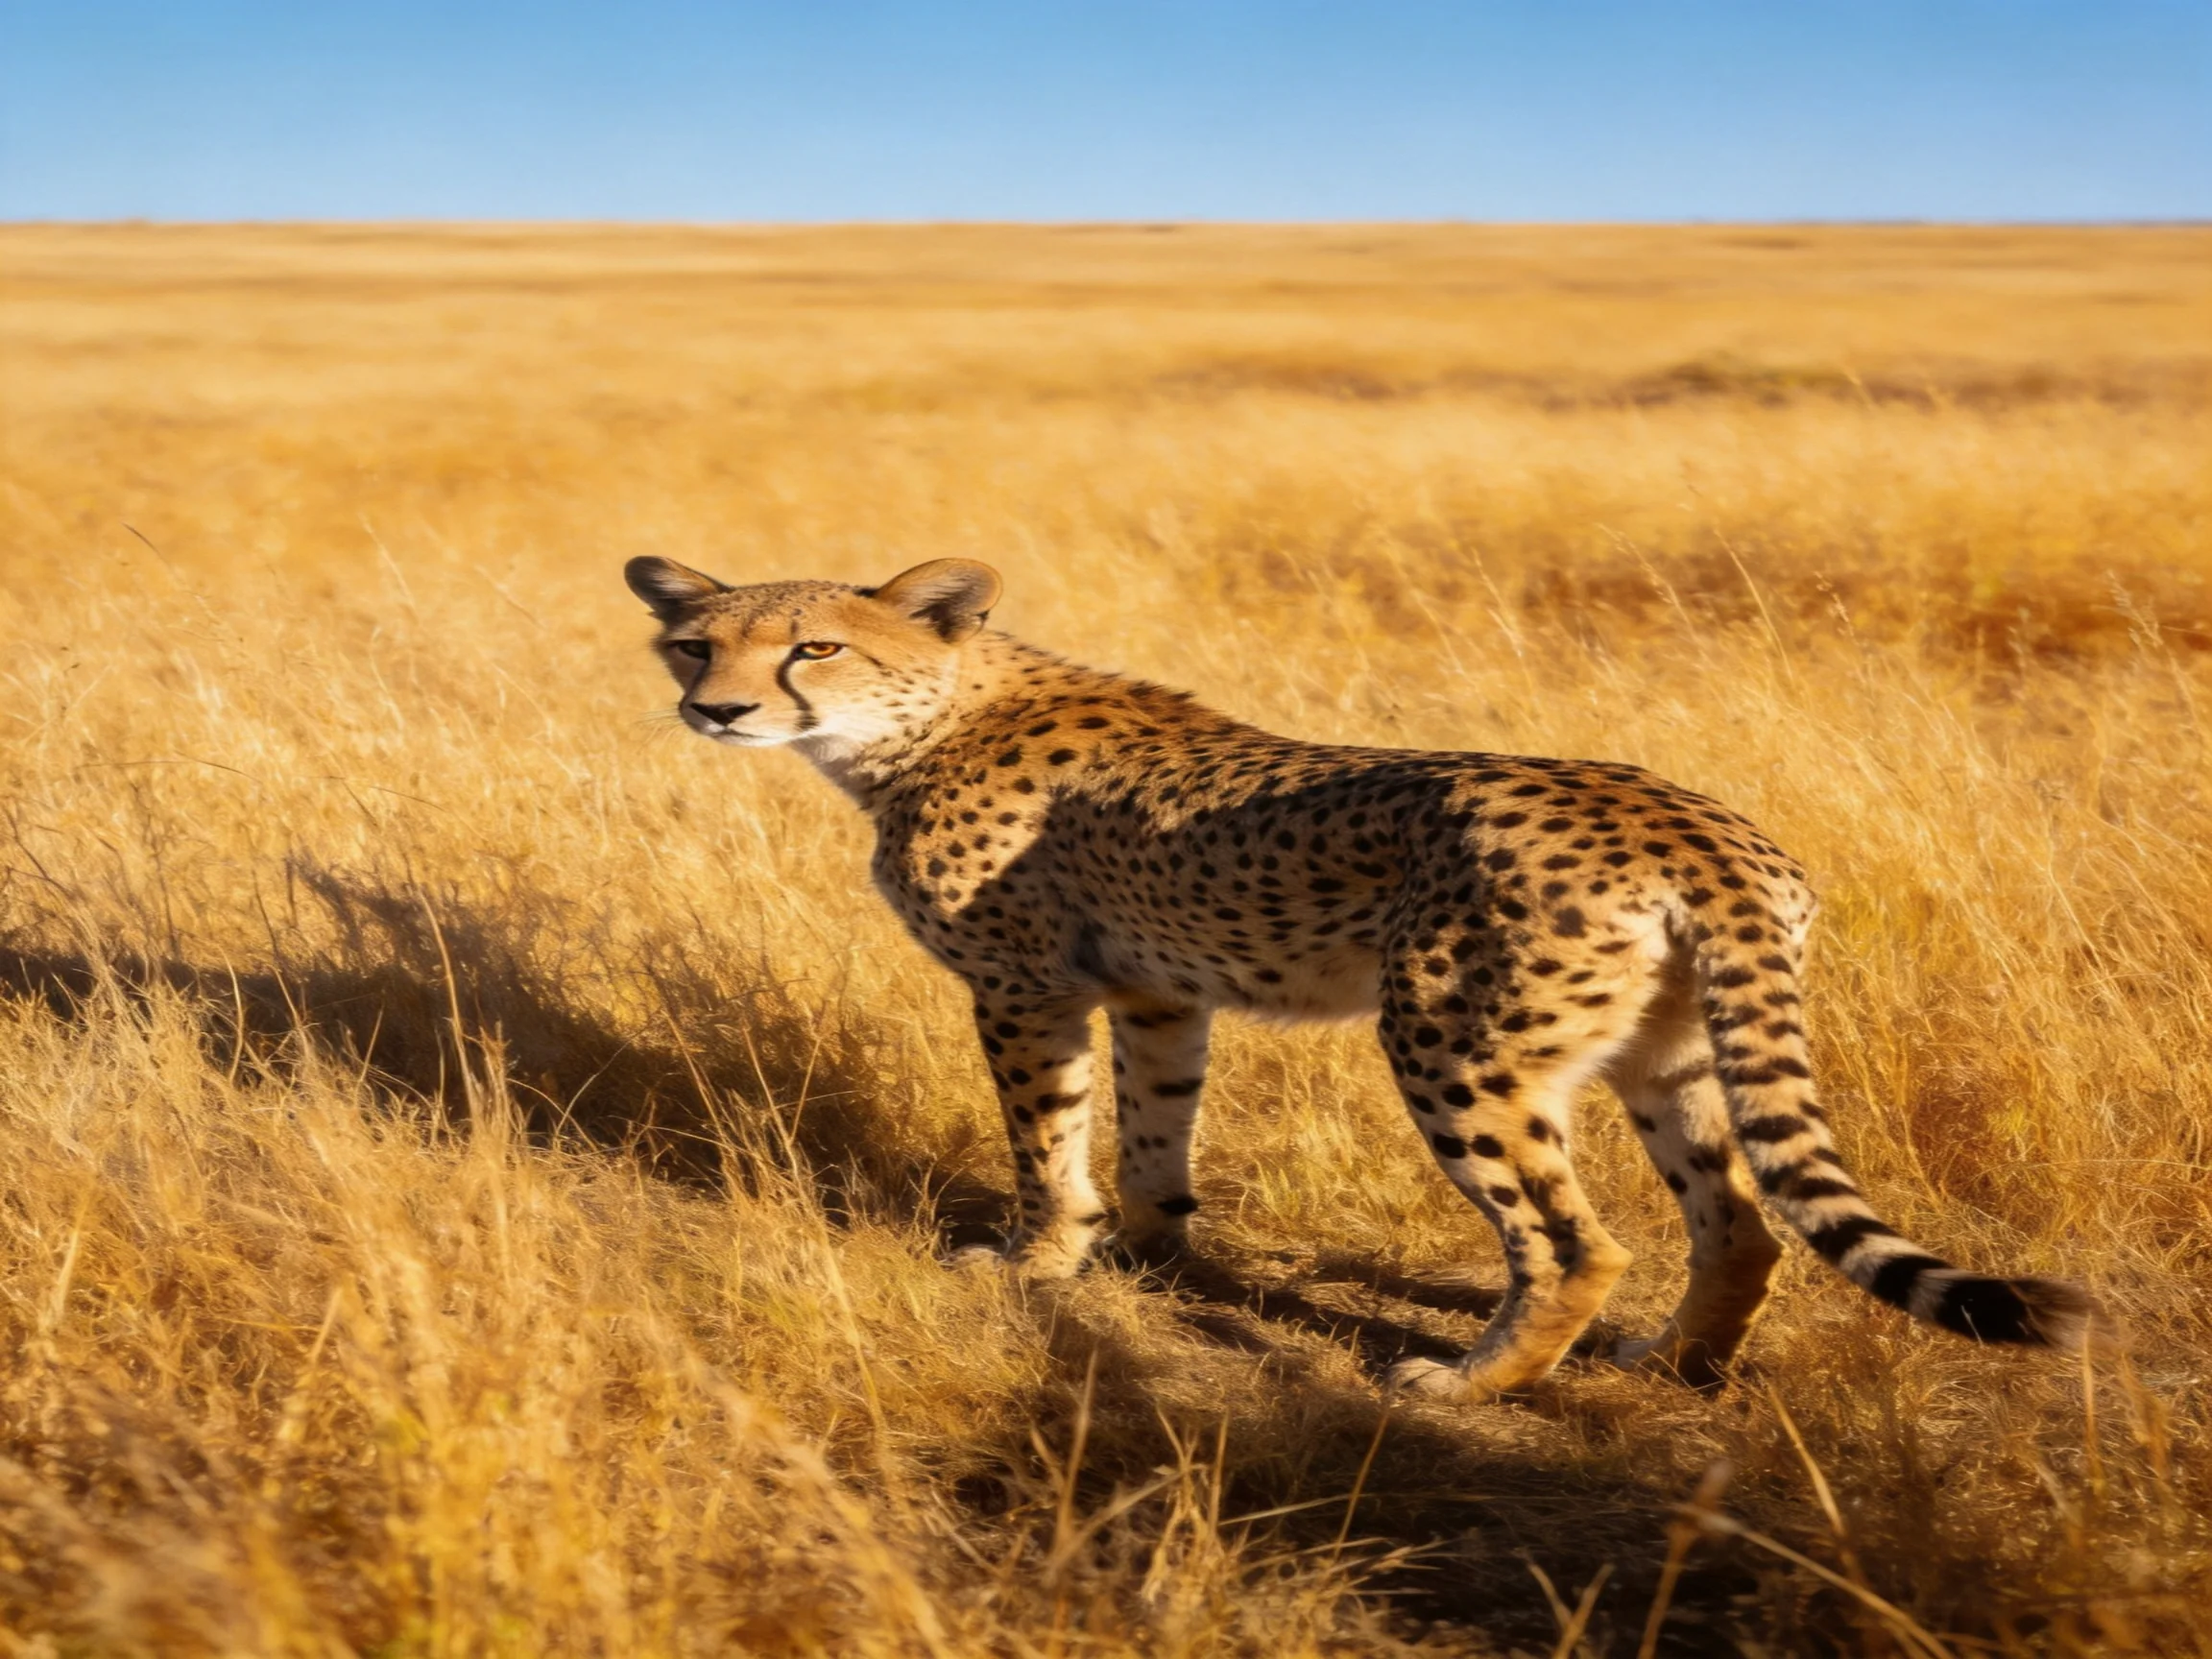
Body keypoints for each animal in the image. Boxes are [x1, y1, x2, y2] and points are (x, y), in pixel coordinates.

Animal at [624, 553, 2101, 1398]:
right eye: (694, 642)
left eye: (814, 645)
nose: (716, 708)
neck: (930, 713)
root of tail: (1697, 825)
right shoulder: (1160, 990)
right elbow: (1157, 1129)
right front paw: (1149, 1252)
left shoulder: (1029, 987)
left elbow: (1047, 1141)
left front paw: (1037, 1259)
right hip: (1663, 1052)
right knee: (1735, 1221)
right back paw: (1679, 1363)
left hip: (1454, 1039)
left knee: (1576, 1241)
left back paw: (1469, 1385)